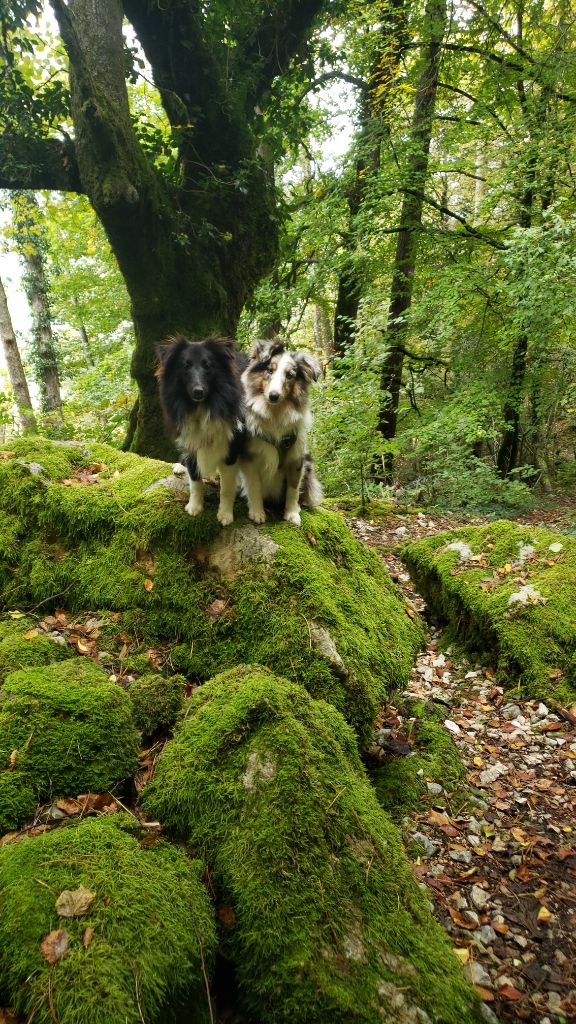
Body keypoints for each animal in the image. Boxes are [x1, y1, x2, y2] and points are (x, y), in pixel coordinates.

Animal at [156, 337, 247, 528]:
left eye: (208, 365)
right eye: (185, 366)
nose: (198, 392)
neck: (201, 407)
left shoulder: (231, 448)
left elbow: (226, 488)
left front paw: (225, 514)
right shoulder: (191, 441)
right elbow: (195, 480)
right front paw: (195, 507)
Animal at [237, 337, 323, 528]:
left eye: (290, 375)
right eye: (270, 370)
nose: (273, 395)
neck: (274, 414)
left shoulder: (296, 458)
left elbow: (293, 489)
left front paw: (292, 513)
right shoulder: (249, 458)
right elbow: (254, 486)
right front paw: (257, 512)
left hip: (309, 462)